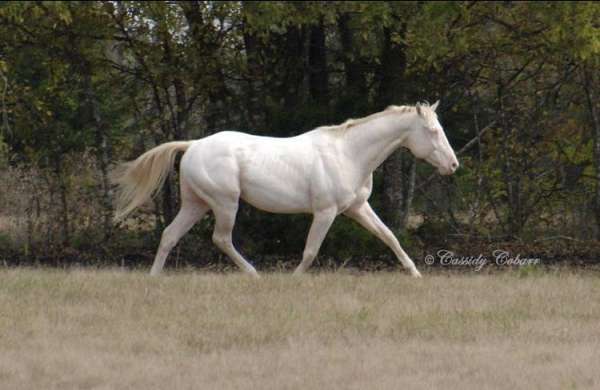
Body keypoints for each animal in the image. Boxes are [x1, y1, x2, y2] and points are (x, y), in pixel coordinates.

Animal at [110, 100, 460, 278]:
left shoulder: (357, 208)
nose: (453, 165)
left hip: (196, 204)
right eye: (432, 131)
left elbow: (389, 236)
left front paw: (415, 274)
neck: (348, 153)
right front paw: (293, 279)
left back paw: (154, 279)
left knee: (170, 234)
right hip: (225, 203)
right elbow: (310, 251)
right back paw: (254, 274)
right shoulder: (326, 212)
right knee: (221, 238)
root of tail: (194, 144)